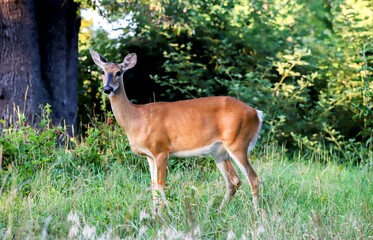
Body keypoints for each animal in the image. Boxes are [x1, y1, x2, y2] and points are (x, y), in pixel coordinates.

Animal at [88, 49, 264, 214]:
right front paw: (154, 214)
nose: (107, 88)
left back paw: (256, 215)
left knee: (253, 179)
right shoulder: (149, 156)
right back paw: (219, 211)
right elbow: (153, 185)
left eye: (119, 72)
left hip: (238, 142)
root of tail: (256, 113)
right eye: (103, 71)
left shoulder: (161, 150)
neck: (136, 119)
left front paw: (164, 215)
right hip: (219, 152)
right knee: (234, 181)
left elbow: (160, 185)